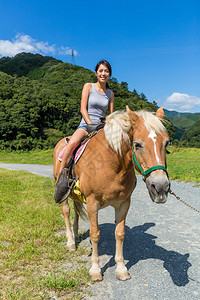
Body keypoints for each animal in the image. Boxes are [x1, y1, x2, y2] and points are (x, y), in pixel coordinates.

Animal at [53, 106, 170, 282]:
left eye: (167, 143)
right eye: (137, 144)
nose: (161, 187)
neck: (110, 162)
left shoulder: (124, 203)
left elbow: (120, 233)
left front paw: (121, 269)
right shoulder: (92, 203)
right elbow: (95, 234)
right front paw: (95, 269)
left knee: (76, 212)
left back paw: (76, 236)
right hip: (64, 195)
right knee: (66, 211)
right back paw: (71, 242)